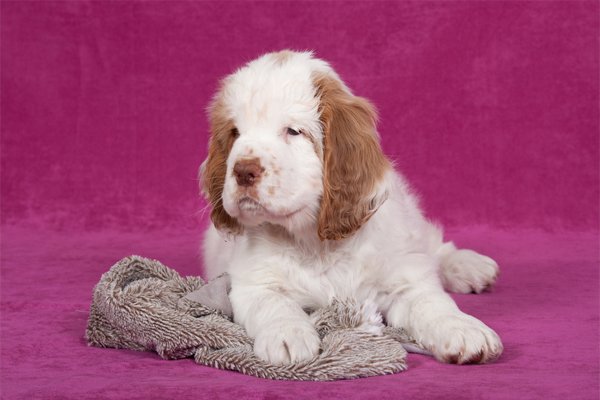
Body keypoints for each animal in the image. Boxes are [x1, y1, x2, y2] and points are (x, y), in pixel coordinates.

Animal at [200, 50, 502, 366]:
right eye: (235, 133)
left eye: (294, 131)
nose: (242, 171)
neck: (317, 245)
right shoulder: (252, 283)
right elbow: (273, 303)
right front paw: (288, 335)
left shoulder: (404, 279)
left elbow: (430, 302)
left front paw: (463, 329)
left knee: (433, 248)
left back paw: (469, 266)